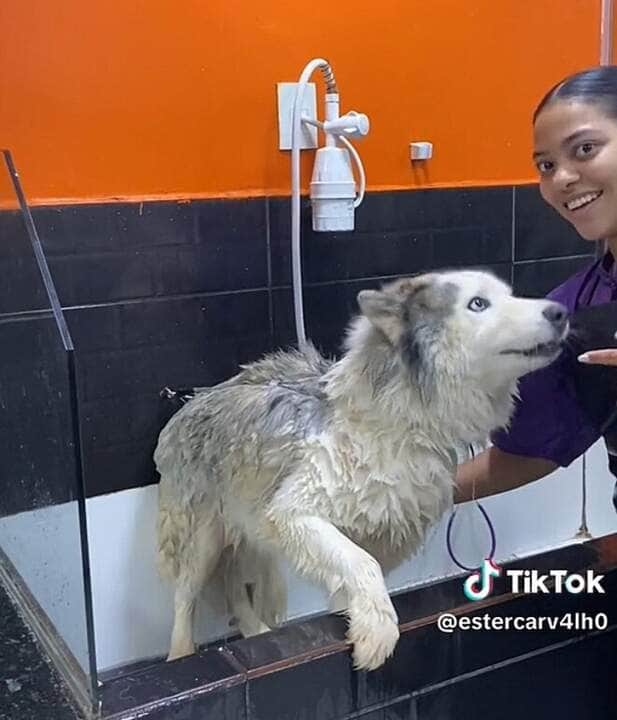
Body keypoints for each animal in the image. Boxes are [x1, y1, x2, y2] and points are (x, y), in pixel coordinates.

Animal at [155, 270, 568, 668]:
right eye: (478, 303)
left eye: (510, 295)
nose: (561, 311)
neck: (399, 424)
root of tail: (197, 396)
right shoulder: (293, 512)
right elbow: (360, 564)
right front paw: (378, 633)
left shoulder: (380, 536)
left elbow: (357, 577)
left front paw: (358, 620)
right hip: (204, 538)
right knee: (184, 598)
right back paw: (181, 654)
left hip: (251, 530)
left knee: (235, 586)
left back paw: (257, 633)